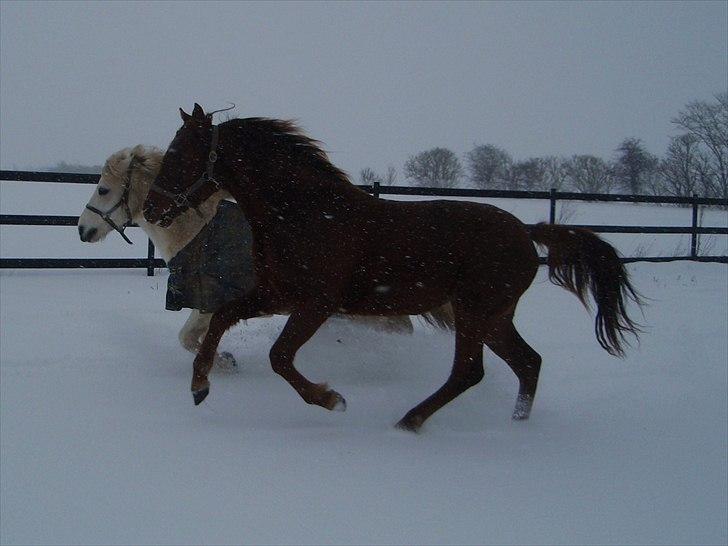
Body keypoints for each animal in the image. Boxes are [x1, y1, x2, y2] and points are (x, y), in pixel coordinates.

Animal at [78, 142, 450, 368]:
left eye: (103, 189)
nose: (83, 230)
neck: (198, 232)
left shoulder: (212, 300)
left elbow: (189, 337)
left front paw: (225, 362)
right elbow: (189, 337)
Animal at [144, 104, 644, 432]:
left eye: (179, 155)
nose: (150, 209)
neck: (305, 214)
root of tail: (526, 230)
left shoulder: (315, 304)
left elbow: (279, 356)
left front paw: (332, 400)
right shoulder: (275, 294)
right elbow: (221, 320)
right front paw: (200, 386)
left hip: (475, 312)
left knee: (471, 372)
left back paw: (409, 421)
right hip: (495, 317)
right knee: (528, 363)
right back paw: (515, 424)